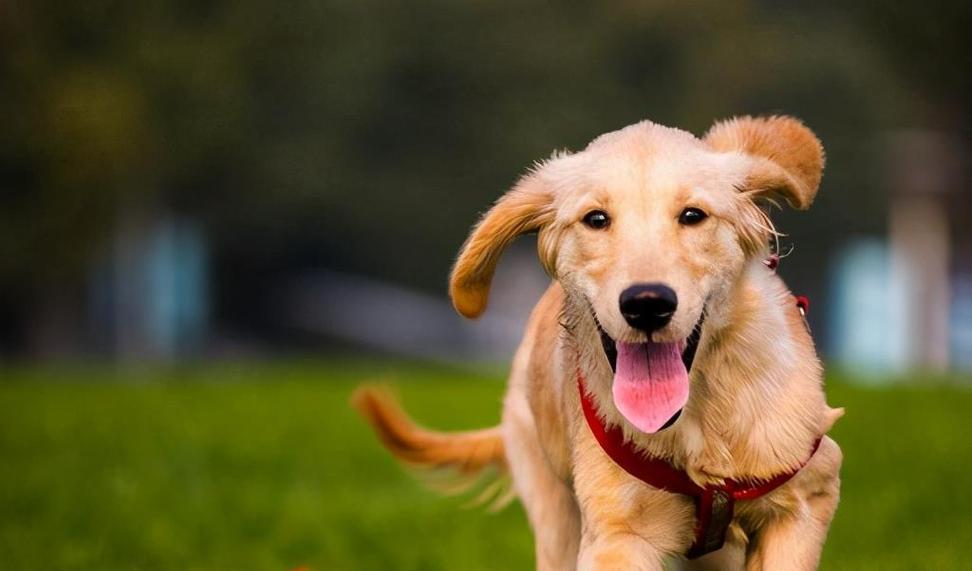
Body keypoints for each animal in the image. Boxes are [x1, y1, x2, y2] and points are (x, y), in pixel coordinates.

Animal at [356, 116, 844, 571]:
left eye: (692, 215)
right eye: (596, 219)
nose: (647, 304)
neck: (697, 427)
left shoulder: (807, 495)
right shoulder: (618, 533)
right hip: (552, 505)